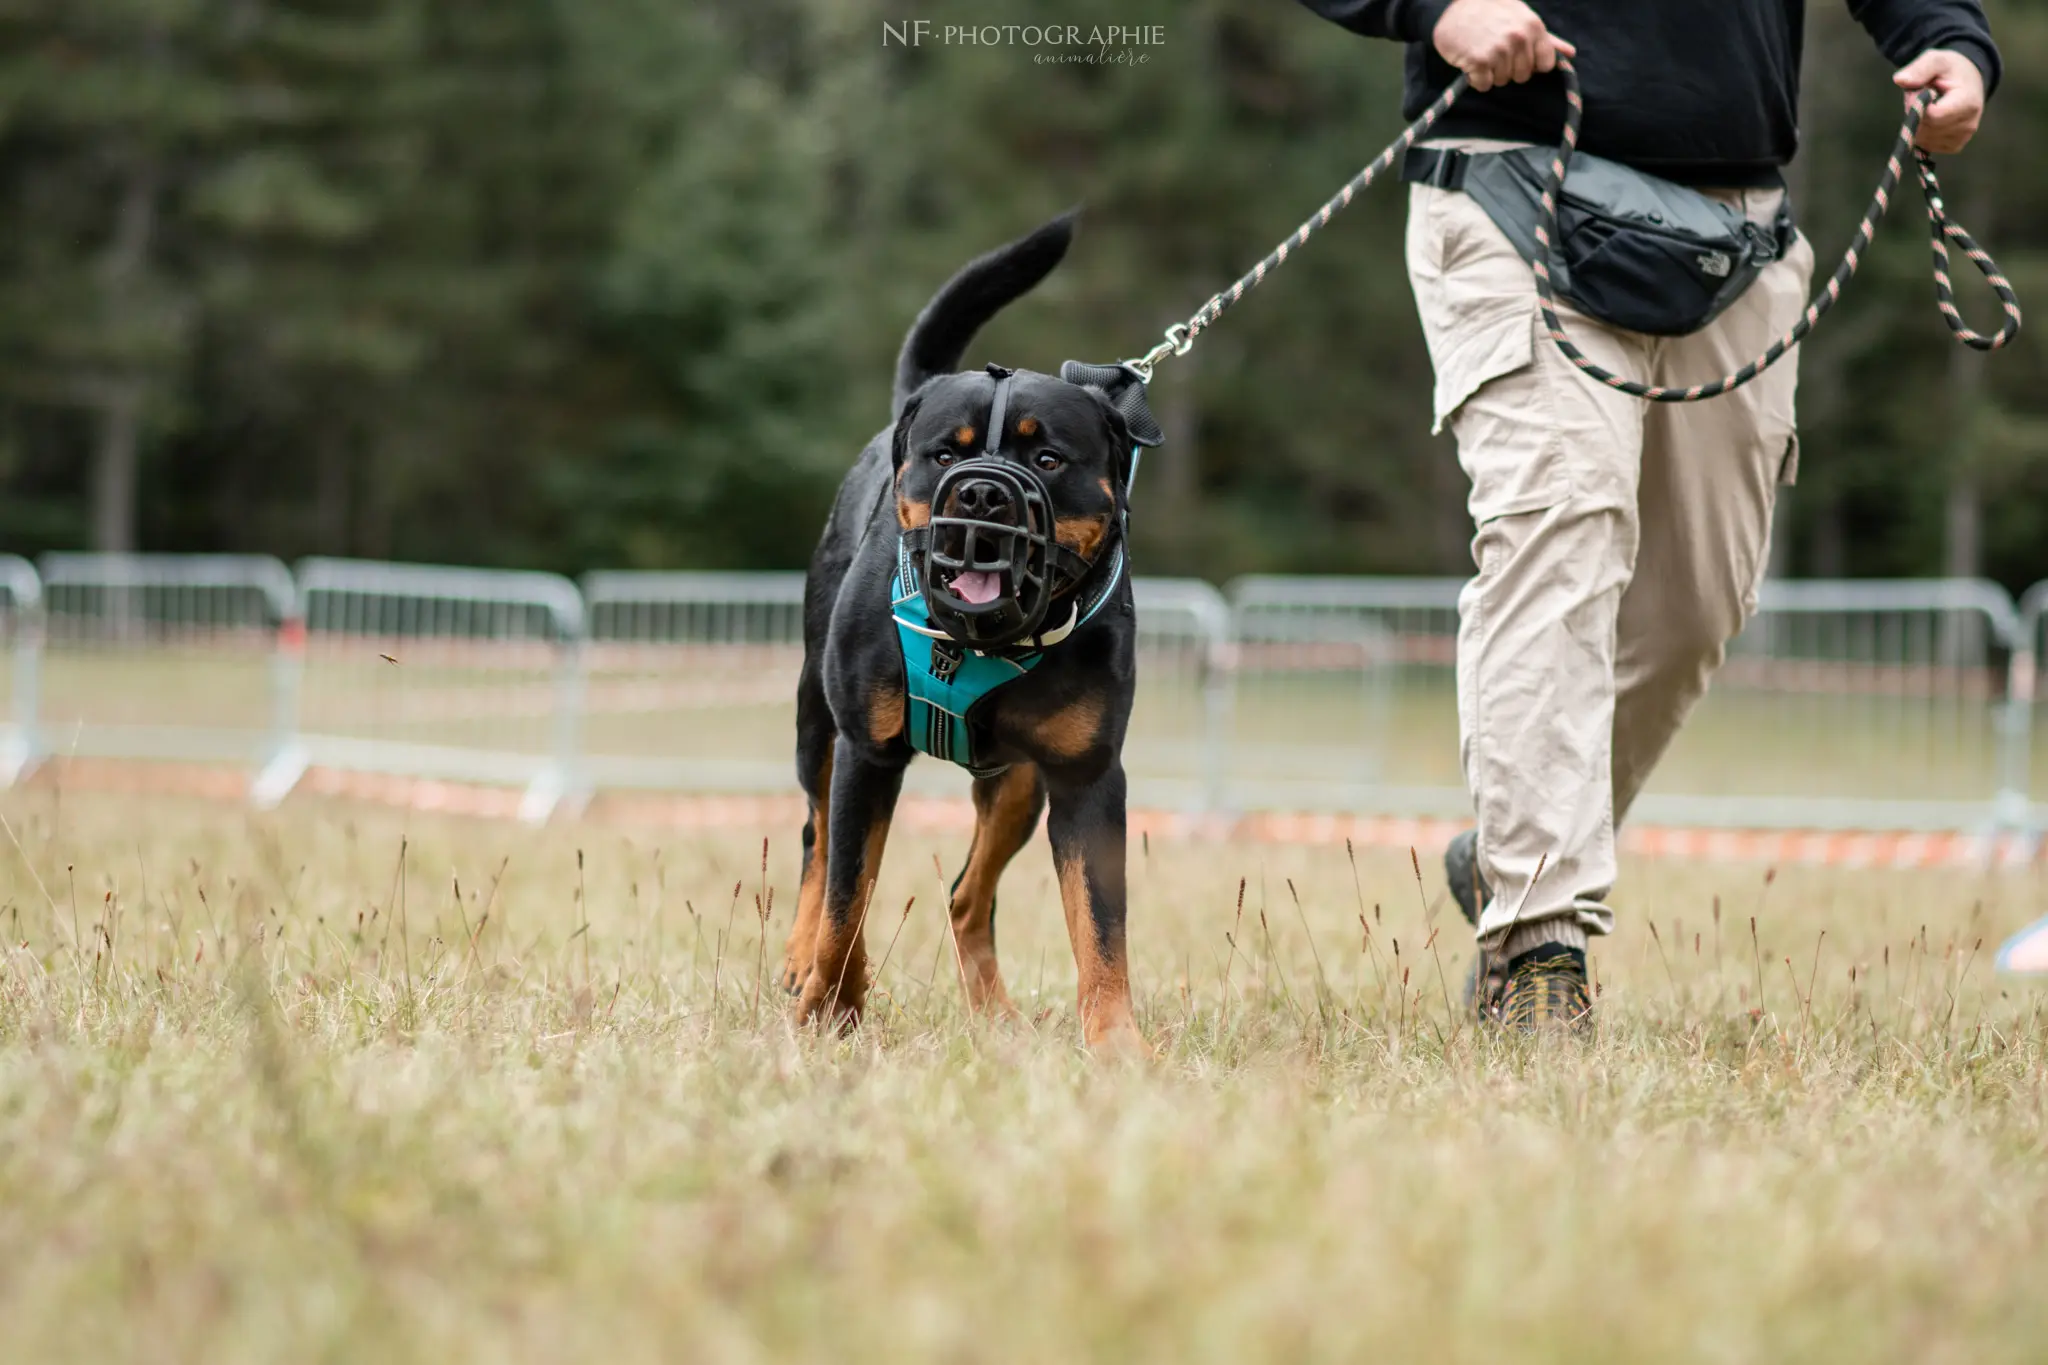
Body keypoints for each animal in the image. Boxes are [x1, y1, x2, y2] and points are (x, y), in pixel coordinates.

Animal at [778, 218, 1163, 1055]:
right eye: (946, 452)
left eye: (1048, 456)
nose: (984, 493)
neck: (983, 640)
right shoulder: (867, 752)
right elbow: (847, 897)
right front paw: (831, 1008)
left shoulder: (1087, 776)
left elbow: (1102, 926)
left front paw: (1116, 1041)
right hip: (817, 722)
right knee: (819, 845)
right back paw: (801, 962)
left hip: (1018, 782)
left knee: (965, 895)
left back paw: (995, 1014)